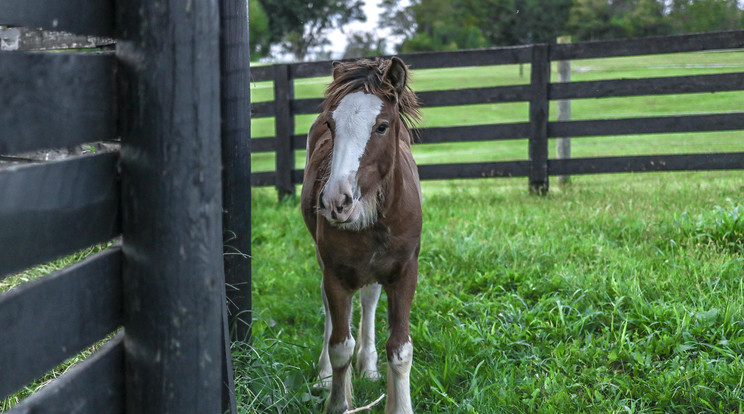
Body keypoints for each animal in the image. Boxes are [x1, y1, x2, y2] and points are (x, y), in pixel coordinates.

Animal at [300, 55, 422, 414]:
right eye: (331, 125)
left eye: (381, 126)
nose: (335, 201)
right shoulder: (336, 274)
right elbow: (340, 344)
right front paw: (335, 398)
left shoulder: (405, 272)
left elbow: (400, 349)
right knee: (329, 310)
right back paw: (324, 375)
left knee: (368, 300)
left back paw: (367, 365)